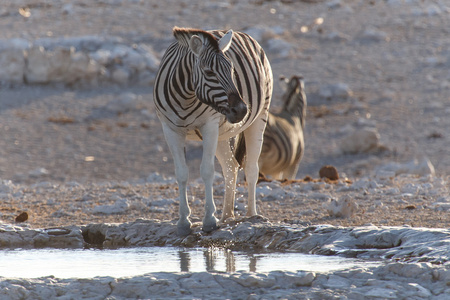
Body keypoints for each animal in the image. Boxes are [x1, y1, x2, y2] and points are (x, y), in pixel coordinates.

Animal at [153, 27, 272, 236]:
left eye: (232, 70)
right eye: (209, 72)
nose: (241, 110)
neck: (186, 96)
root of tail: (244, 33)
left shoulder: (208, 125)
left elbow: (207, 170)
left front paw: (209, 220)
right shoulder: (170, 130)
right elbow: (181, 173)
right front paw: (183, 222)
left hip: (259, 117)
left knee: (251, 168)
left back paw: (251, 216)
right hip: (221, 134)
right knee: (231, 167)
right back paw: (226, 216)